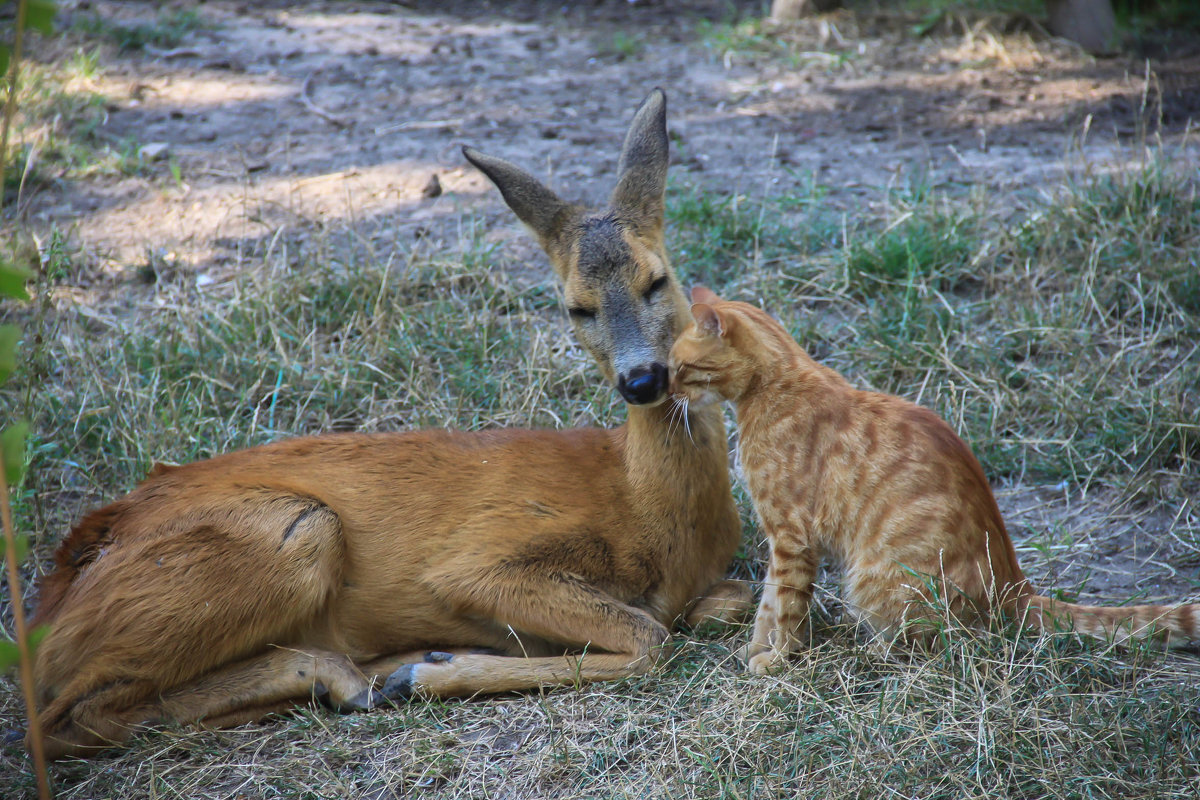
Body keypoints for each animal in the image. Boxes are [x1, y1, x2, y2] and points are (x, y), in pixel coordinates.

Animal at [28, 90, 748, 762]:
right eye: (577, 306)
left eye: (657, 279)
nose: (642, 379)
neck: (646, 507)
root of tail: (51, 601)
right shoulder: (478, 561)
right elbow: (649, 637)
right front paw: (433, 673)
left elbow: (724, 601)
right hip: (295, 529)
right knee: (68, 718)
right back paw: (358, 675)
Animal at [672, 287, 1195, 676]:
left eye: (680, 368)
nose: (665, 391)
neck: (772, 387)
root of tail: (1015, 585)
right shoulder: (780, 540)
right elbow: (766, 603)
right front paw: (756, 648)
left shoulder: (790, 537)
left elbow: (784, 606)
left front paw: (779, 658)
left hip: (874, 581)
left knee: (935, 642)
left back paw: (873, 650)